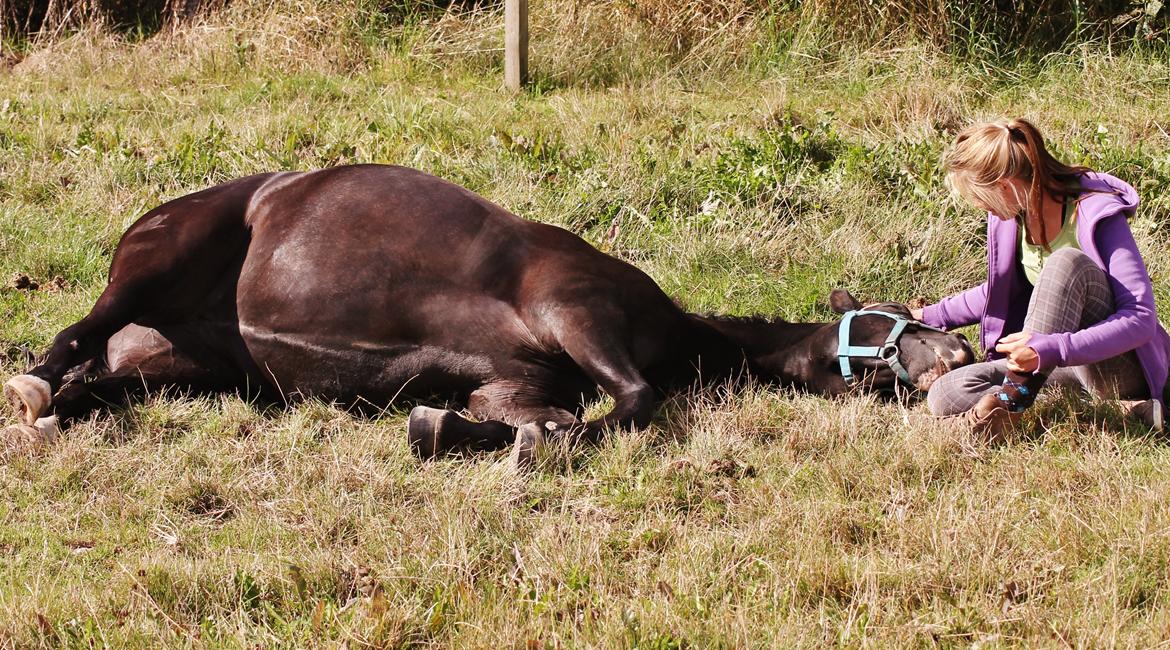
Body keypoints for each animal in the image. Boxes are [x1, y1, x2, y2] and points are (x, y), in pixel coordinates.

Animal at [0, 164, 973, 465]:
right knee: (73, 335)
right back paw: (29, 391)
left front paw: (448, 429)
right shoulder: (574, 308)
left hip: (172, 367)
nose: (957, 354)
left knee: (95, 378)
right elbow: (632, 403)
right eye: (891, 316)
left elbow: (539, 418)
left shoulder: (512, 381)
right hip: (157, 263)